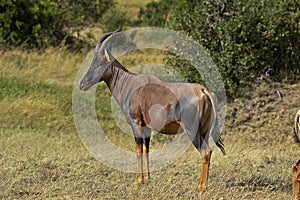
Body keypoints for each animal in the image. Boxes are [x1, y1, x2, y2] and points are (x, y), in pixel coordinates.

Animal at [79, 31, 225, 192]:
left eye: (98, 64)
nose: (82, 84)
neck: (130, 83)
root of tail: (203, 91)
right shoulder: (146, 127)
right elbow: (146, 150)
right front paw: (147, 180)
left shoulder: (136, 123)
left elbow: (138, 150)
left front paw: (138, 182)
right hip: (204, 130)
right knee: (209, 151)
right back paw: (203, 184)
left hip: (192, 130)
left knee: (205, 152)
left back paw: (200, 187)